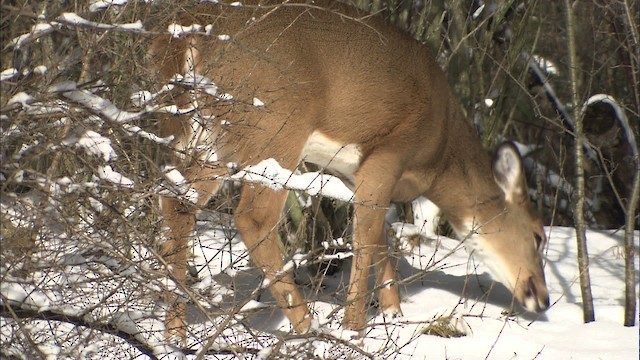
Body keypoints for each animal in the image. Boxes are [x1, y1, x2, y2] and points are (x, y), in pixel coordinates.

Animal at [148, 0, 548, 338]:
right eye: (538, 235)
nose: (543, 298)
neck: (440, 156)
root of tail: (184, 36)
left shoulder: (352, 173)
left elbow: (380, 239)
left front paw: (394, 314)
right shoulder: (388, 152)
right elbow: (367, 239)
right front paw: (354, 327)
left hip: (207, 134)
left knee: (176, 202)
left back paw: (175, 335)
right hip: (274, 127)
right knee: (253, 217)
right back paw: (307, 327)